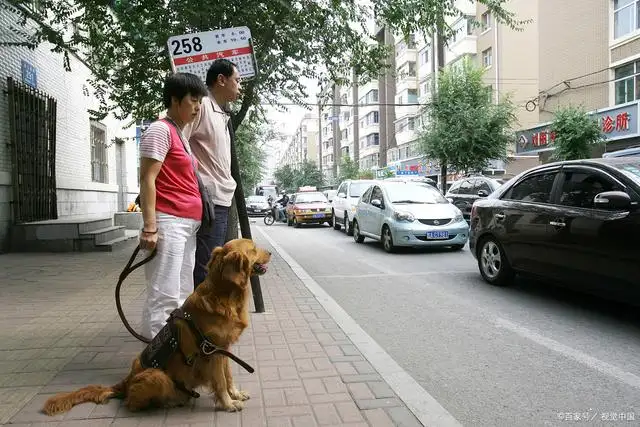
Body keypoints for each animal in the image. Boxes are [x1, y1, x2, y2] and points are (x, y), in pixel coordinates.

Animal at [40, 237, 270, 414]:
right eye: (254, 248)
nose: (269, 252)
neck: (224, 296)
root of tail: (125, 381)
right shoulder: (212, 352)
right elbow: (220, 381)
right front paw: (228, 404)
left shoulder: (223, 349)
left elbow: (228, 376)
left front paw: (235, 394)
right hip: (157, 376)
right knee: (130, 404)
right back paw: (166, 403)